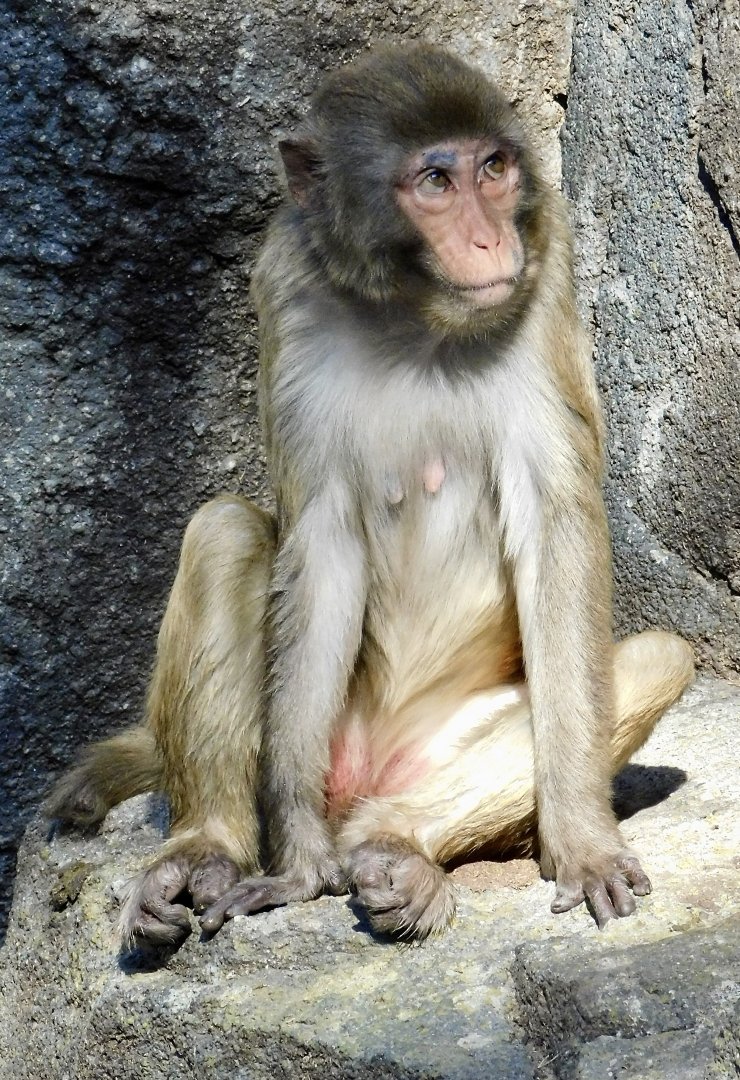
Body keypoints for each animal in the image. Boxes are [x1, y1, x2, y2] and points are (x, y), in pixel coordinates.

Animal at [47, 43, 694, 947]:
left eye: (494, 168)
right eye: (435, 181)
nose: (492, 237)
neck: (413, 313)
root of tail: (368, 773)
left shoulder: (548, 264)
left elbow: (556, 523)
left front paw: (585, 842)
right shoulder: (286, 285)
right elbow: (319, 537)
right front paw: (297, 866)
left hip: (430, 752)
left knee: (657, 658)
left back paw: (394, 845)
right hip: (325, 739)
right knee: (224, 530)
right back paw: (212, 846)